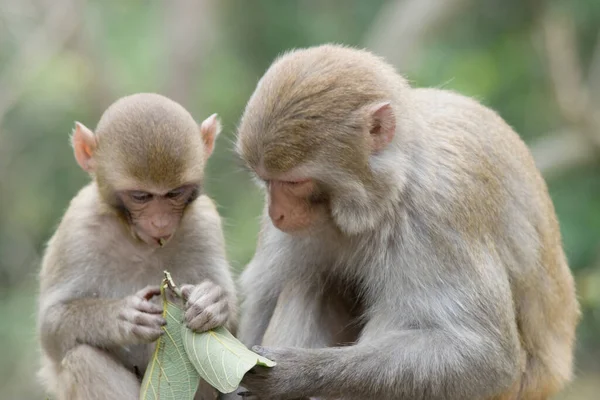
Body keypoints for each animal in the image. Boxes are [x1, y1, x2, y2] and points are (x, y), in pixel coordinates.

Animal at [37, 94, 237, 400]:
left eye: (174, 193)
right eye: (141, 196)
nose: (159, 222)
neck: (138, 240)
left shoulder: (204, 222)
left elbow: (234, 325)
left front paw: (213, 301)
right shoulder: (77, 227)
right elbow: (50, 327)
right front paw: (119, 318)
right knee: (82, 356)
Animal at [232, 45, 580, 398]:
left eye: (294, 183)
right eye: (267, 180)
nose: (276, 213)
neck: (382, 199)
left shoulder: (438, 214)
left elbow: (485, 354)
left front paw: (294, 373)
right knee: (310, 280)